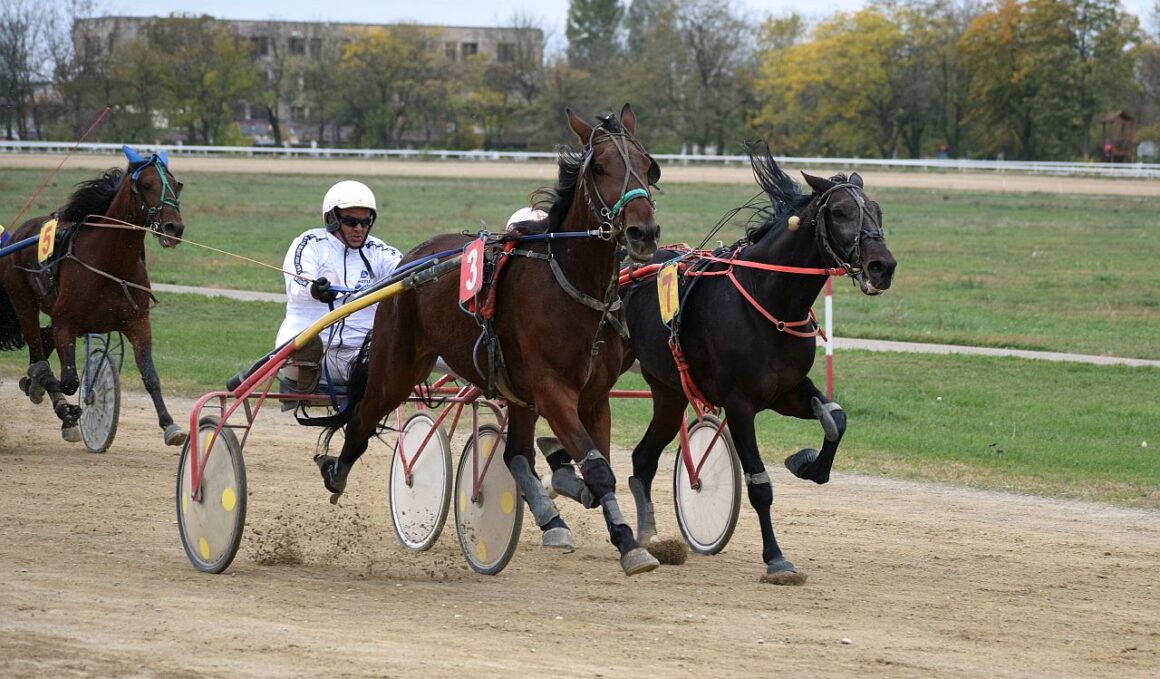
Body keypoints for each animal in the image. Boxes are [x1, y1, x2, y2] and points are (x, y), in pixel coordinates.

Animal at [0, 144, 187, 445]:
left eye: (176, 184)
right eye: (146, 184)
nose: (174, 228)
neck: (111, 261)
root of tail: (18, 233)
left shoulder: (137, 322)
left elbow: (150, 375)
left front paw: (170, 425)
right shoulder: (66, 323)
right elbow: (70, 380)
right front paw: (68, 407)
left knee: (42, 344)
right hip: (23, 301)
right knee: (39, 355)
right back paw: (54, 401)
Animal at [317, 104, 668, 571]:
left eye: (649, 166)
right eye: (598, 167)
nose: (642, 233)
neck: (573, 286)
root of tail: (412, 260)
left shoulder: (593, 396)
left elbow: (597, 469)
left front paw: (593, 511)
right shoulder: (553, 389)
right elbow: (596, 469)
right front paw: (629, 544)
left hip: (515, 390)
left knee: (515, 452)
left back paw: (551, 517)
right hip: (397, 367)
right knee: (362, 417)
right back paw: (335, 472)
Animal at [617, 142, 895, 582]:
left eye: (877, 210)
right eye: (839, 212)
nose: (882, 266)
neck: (769, 296)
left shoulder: (787, 390)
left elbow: (836, 418)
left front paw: (808, 464)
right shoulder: (740, 403)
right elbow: (760, 483)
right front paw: (776, 558)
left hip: (668, 392)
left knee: (642, 459)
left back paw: (648, 537)